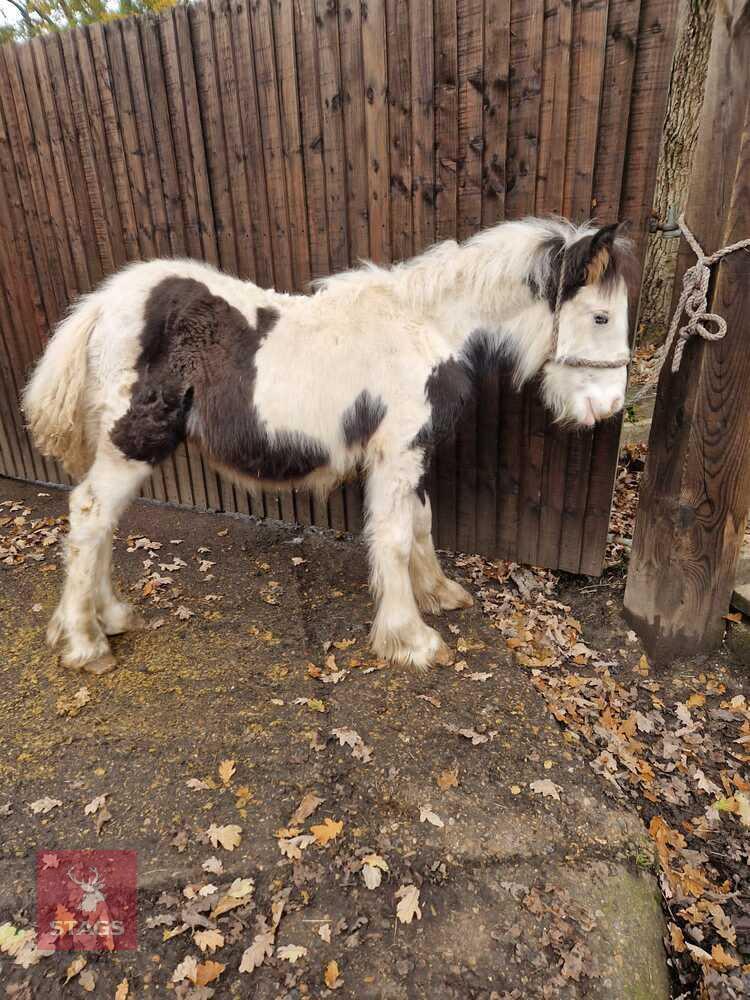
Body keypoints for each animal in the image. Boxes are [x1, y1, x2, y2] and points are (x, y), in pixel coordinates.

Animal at [22, 216, 636, 675]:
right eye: (601, 315)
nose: (608, 408)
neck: (425, 326)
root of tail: (104, 303)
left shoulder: (412, 453)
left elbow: (421, 522)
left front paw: (439, 593)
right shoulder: (398, 453)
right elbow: (393, 537)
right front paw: (411, 638)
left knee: (101, 523)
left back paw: (111, 617)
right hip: (132, 442)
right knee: (89, 515)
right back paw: (85, 643)